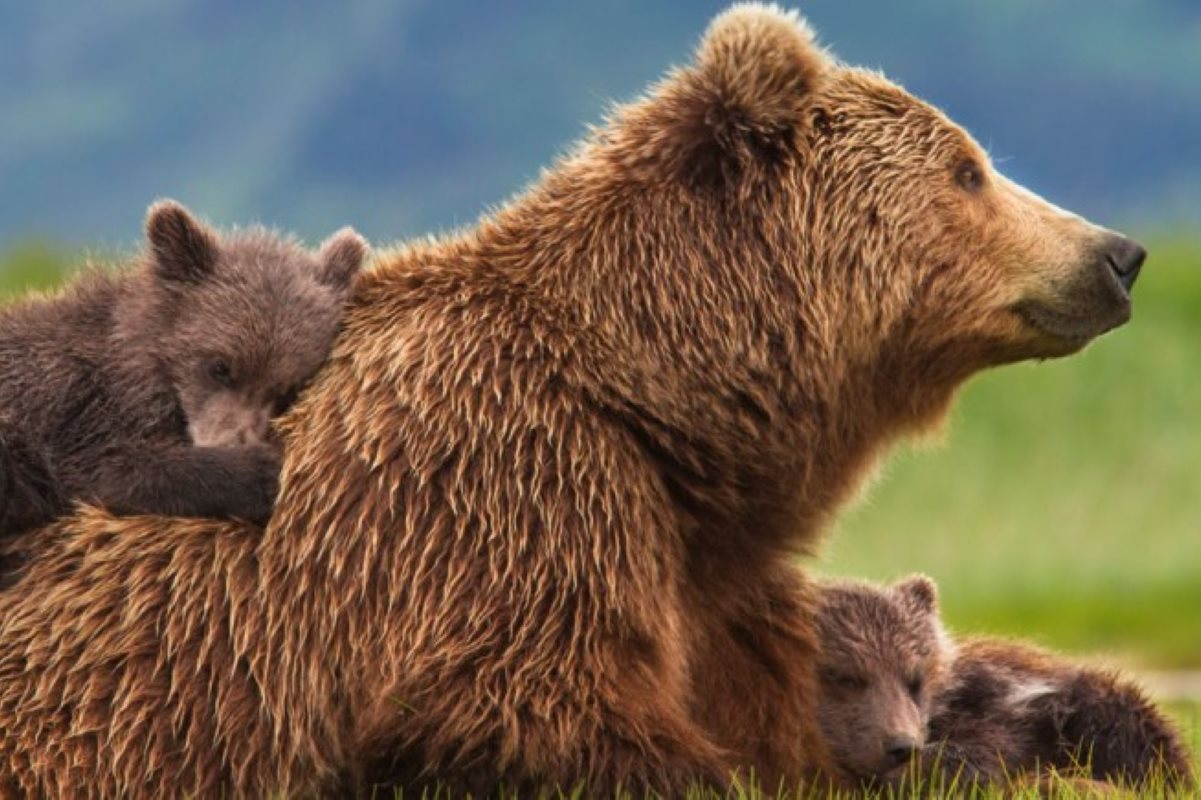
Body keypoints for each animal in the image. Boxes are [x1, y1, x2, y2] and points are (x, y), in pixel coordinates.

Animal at [0, 3, 1143, 792]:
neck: (659, 397)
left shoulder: (699, 565)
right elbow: (533, 703)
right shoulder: (510, 495)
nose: (1118, 253)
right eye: (968, 169)